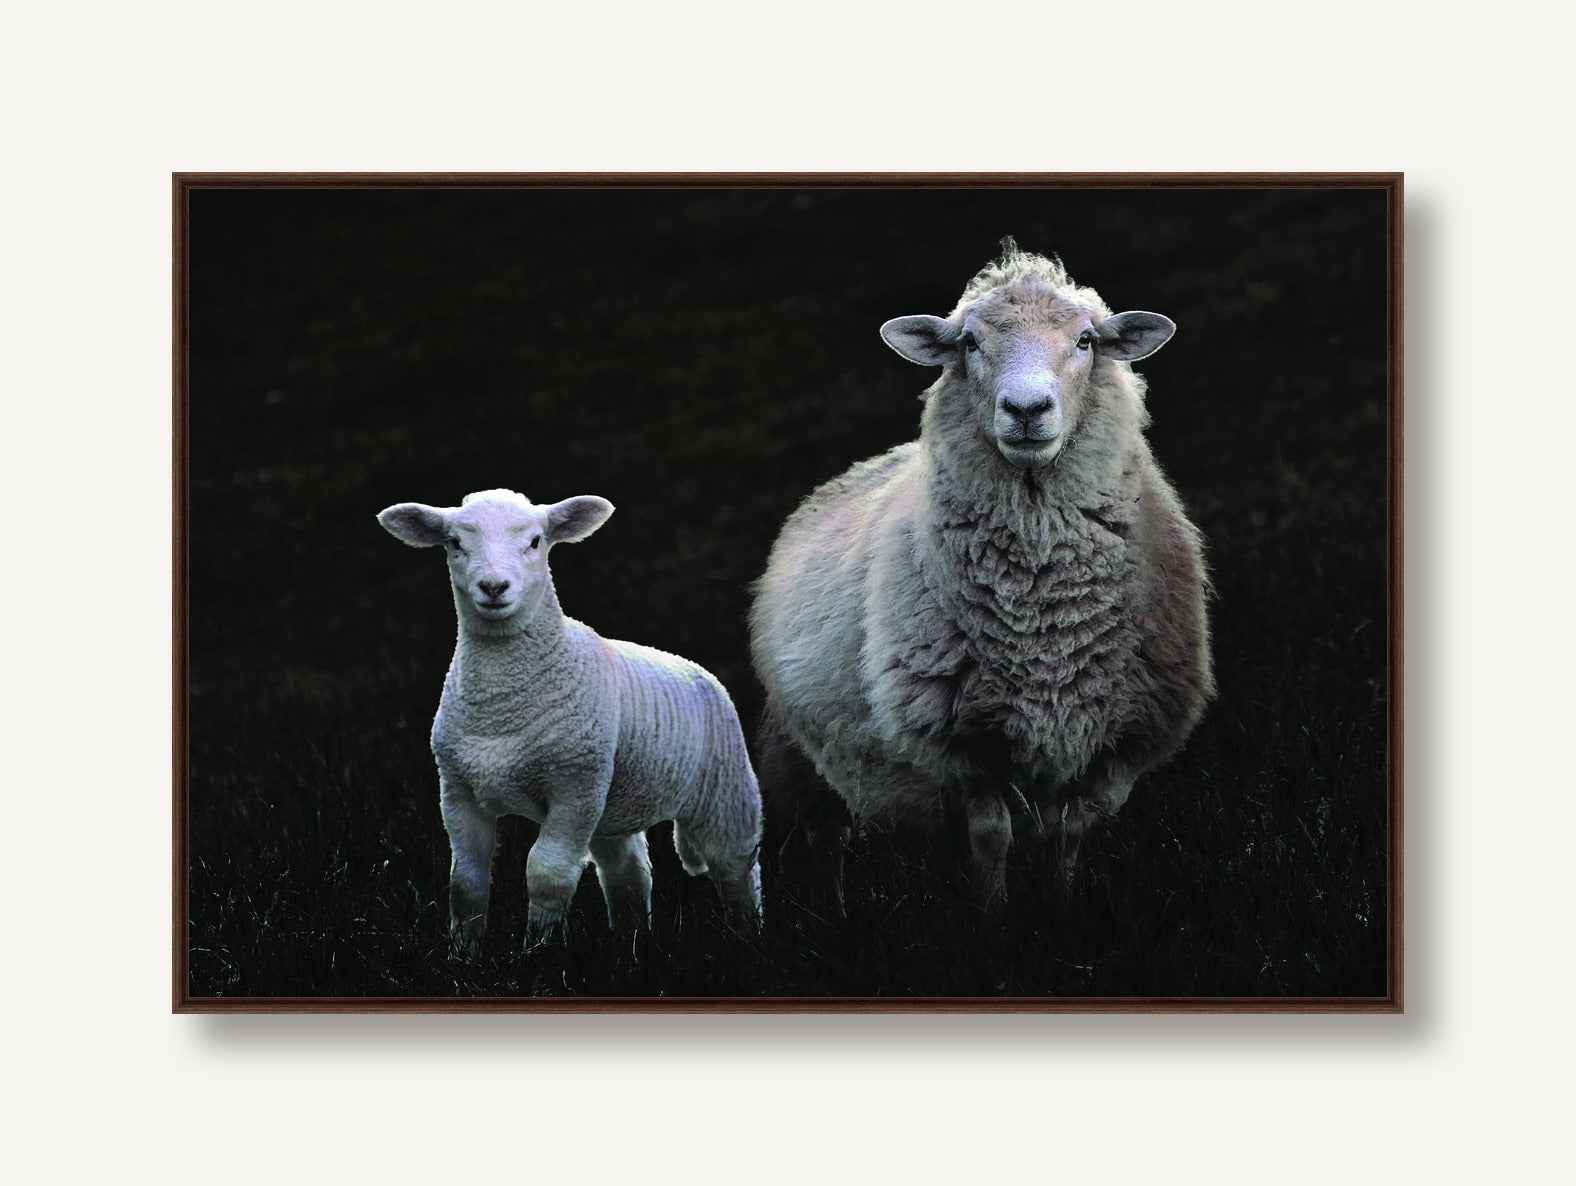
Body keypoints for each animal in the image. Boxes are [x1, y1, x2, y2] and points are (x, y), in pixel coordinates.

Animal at [378, 488, 763, 952]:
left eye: (535, 542)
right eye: (454, 543)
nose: (493, 587)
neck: (500, 707)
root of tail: (696, 669)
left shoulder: (574, 787)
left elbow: (547, 874)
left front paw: (536, 951)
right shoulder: (458, 790)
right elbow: (465, 884)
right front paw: (463, 955)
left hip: (725, 790)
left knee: (737, 868)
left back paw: (748, 936)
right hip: (613, 801)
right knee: (628, 873)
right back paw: (631, 941)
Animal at [750, 241, 1214, 908]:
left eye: (1086, 341)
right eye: (969, 342)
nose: (1026, 409)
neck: (1044, 612)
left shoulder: (1114, 742)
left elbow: (1070, 835)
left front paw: (1061, 906)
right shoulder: (963, 744)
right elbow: (992, 837)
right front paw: (991, 917)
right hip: (798, 753)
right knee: (819, 842)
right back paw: (826, 918)